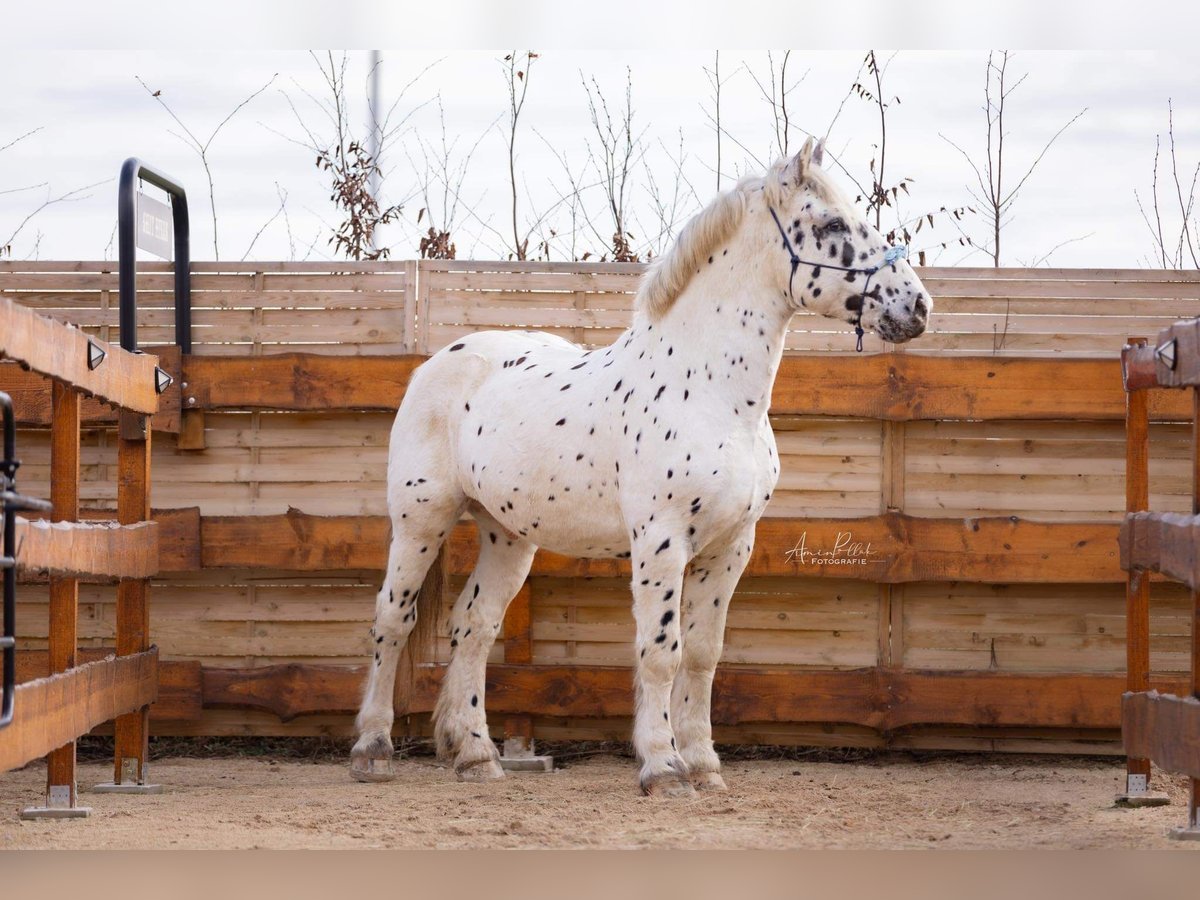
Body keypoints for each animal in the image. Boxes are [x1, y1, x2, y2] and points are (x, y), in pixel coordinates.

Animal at [350, 137, 931, 801]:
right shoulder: (662, 542)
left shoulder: (731, 547)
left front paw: (704, 765)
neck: (708, 391)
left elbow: (703, 655)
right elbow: (661, 653)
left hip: (507, 535)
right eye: (832, 223)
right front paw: (663, 767)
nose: (918, 306)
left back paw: (476, 755)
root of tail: (435, 363)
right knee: (392, 620)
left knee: (473, 625)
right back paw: (372, 750)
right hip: (420, 521)